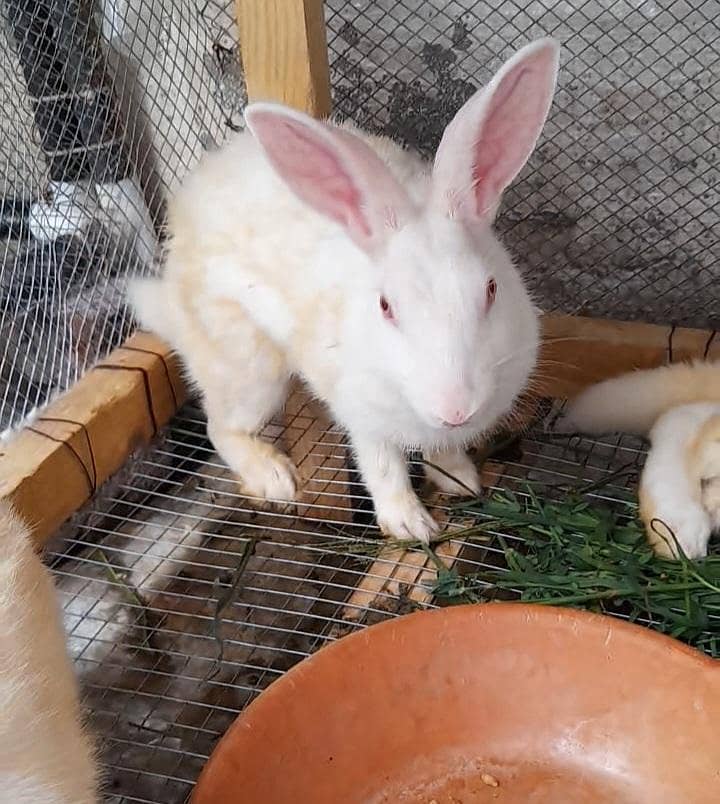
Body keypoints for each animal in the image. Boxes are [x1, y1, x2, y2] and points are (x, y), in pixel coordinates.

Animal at [129, 39, 560, 543]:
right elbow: (384, 469)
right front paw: (410, 525)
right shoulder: (364, 419)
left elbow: (444, 454)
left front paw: (461, 481)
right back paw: (273, 477)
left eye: (491, 289)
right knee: (222, 427)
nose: (455, 408)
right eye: (386, 306)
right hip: (247, 366)